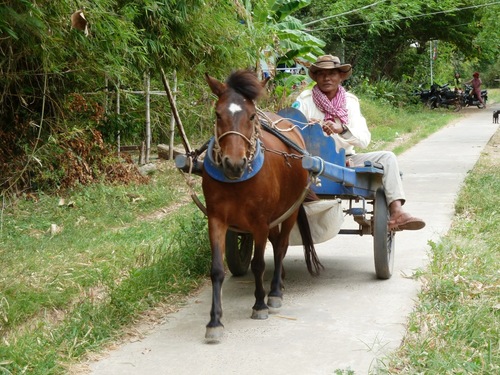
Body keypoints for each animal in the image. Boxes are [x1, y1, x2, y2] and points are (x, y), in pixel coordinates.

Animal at [201, 69, 322, 342]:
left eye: (252, 115)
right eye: (218, 114)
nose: (233, 164)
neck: (236, 181)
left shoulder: (259, 223)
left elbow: (258, 263)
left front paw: (259, 304)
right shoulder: (216, 219)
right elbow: (216, 269)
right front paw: (214, 321)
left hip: (289, 211)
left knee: (281, 247)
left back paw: (275, 291)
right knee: (277, 245)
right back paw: (281, 281)